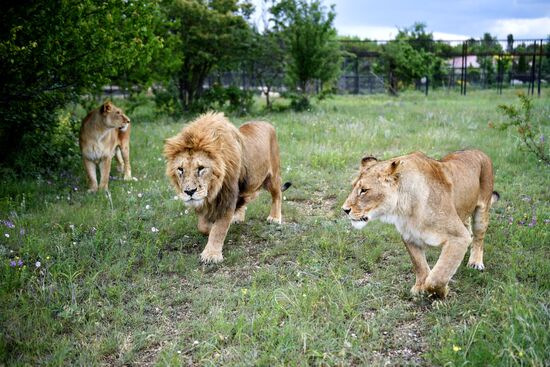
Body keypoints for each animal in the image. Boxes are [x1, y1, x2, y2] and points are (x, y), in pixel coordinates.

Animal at [165, 112, 292, 264]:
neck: (213, 190)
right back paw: (238, 217)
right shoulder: (206, 202)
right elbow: (202, 226)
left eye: (201, 168)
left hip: (272, 176)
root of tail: (266, 123)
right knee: (247, 197)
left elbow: (219, 228)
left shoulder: (228, 196)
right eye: (180, 169)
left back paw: (274, 218)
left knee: (277, 195)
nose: (189, 191)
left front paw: (211, 255)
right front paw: (211, 228)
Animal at [342, 150, 502, 300]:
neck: (404, 209)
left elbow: (438, 275)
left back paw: (475, 262)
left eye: (364, 190)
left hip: (482, 211)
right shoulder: (409, 237)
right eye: (354, 187)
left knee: (478, 238)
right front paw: (420, 287)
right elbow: (419, 265)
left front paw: (440, 292)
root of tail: (478, 151)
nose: (345, 209)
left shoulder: (458, 237)